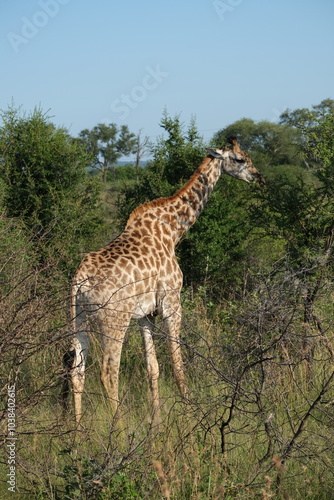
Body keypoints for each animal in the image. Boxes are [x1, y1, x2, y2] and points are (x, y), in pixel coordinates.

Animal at [63, 136, 264, 422]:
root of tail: (80, 281)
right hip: (114, 320)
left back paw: (78, 432)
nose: (258, 177)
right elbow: (178, 366)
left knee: (77, 371)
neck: (173, 230)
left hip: (77, 317)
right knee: (108, 372)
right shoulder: (172, 303)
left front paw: (156, 423)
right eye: (239, 159)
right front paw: (191, 419)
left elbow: (153, 368)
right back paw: (119, 429)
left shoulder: (146, 314)